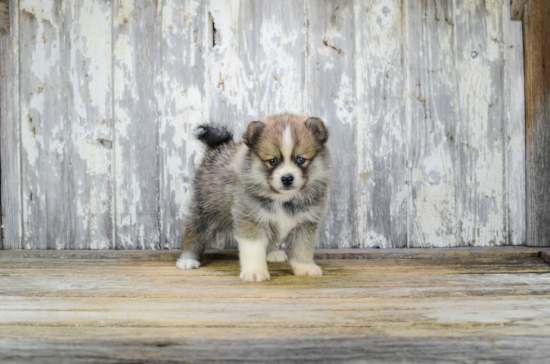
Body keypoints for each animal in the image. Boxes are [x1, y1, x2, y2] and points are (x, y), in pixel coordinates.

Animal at [178, 114, 332, 282]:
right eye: (272, 161)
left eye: (301, 160)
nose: (287, 178)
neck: (282, 199)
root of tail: (219, 147)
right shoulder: (251, 220)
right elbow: (253, 249)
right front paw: (255, 271)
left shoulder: (305, 223)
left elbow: (303, 247)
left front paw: (305, 267)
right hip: (205, 210)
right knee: (194, 232)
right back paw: (188, 258)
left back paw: (272, 252)